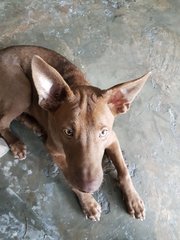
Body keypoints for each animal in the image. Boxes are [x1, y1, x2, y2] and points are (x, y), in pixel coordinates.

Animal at [0, 45, 150, 221]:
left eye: (103, 132)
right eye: (68, 132)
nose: (89, 187)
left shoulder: (112, 138)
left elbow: (124, 170)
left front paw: (133, 199)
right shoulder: (54, 151)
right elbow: (70, 178)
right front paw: (88, 202)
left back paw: (34, 124)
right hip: (22, 92)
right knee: (3, 121)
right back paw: (15, 142)